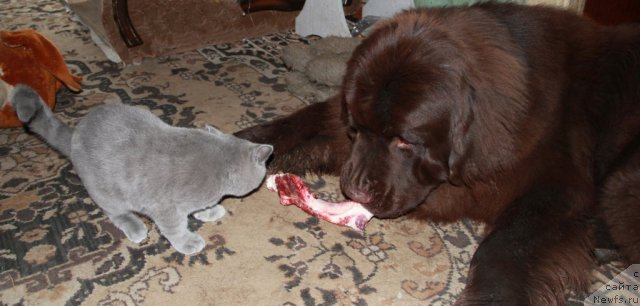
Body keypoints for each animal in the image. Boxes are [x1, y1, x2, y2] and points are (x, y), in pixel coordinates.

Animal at [10, 83, 272, 253]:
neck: (219, 164)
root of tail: (75, 133)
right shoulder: (164, 207)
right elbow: (175, 227)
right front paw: (188, 242)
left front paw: (209, 210)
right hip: (106, 192)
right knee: (116, 213)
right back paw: (135, 228)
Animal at [236, 2, 640, 306]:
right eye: (357, 128)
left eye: (405, 142)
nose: (354, 191)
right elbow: (298, 123)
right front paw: (238, 145)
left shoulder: (556, 188)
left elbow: (503, 248)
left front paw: (493, 297)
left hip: (621, 184)